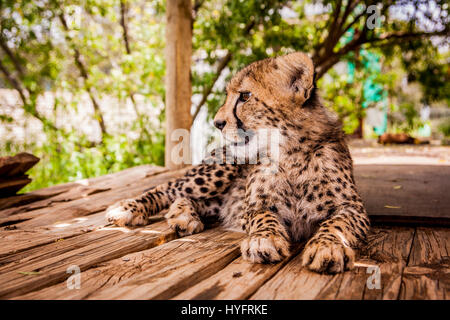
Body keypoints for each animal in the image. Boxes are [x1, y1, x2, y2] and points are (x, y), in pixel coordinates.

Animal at [105, 51, 370, 274]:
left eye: (245, 96)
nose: (217, 123)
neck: (290, 153)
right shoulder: (254, 206)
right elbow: (265, 218)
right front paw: (264, 240)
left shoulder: (352, 208)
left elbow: (336, 224)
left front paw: (328, 246)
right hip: (222, 168)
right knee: (169, 188)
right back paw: (128, 208)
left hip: (217, 198)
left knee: (191, 199)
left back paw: (183, 217)